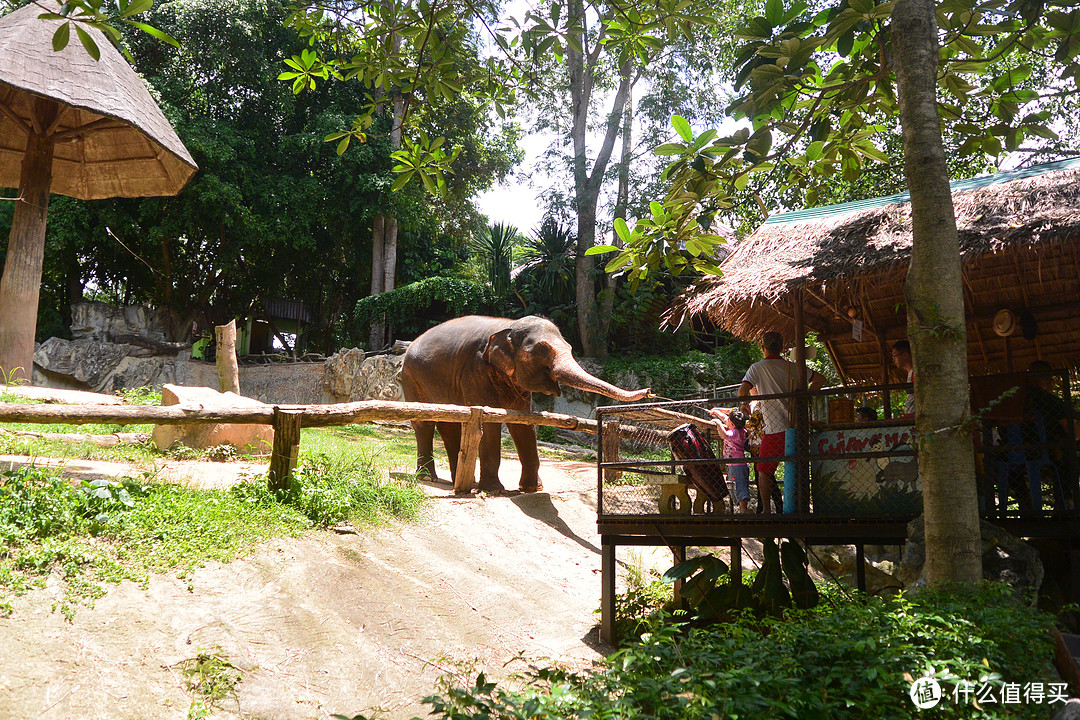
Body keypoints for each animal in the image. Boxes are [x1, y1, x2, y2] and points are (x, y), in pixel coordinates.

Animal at [399, 317, 643, 492]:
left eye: (570, 348)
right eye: (542, 350)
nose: (648, 391)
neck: (506, 326)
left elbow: (522, 422)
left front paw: (532, 488)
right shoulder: (475, 371)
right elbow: (489, 422)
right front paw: (494, 490)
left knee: (448, 424)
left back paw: (460, 481)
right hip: (411, 377)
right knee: (424, 423)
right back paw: (428, 477)